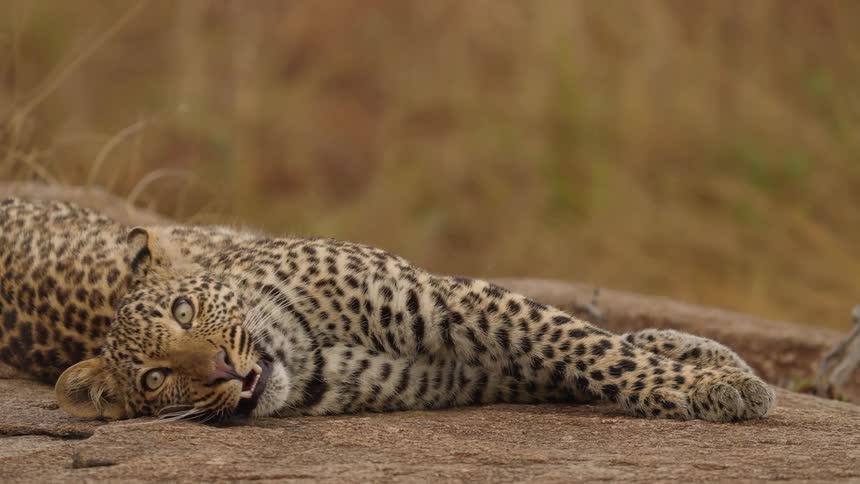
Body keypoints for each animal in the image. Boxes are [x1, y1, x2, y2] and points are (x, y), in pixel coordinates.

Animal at [0, 197, 775, 422]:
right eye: (155, 380)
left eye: (186, 310)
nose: (221, 369)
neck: (301, 348)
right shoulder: (465, 374)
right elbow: (579, 356)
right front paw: (709, 380)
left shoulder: (446, 301)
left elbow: (580, 341)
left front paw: (717, 382)